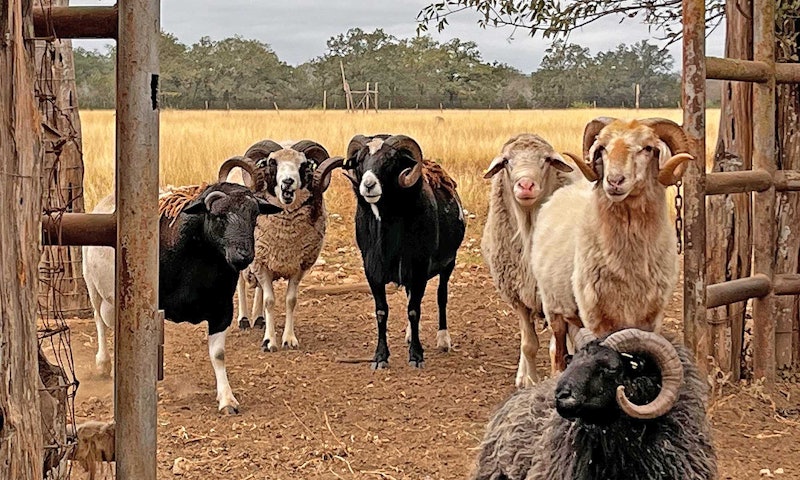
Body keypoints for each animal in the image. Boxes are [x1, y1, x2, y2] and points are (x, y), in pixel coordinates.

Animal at [83, 157, 281, 414]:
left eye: (254, 216)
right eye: (218, 216)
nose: (243, 256)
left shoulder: (222, 310)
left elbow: (218, 354)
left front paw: (227, 399)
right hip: (93, 286)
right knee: (99, 321)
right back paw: (103, 363)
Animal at [226, 139, 342, 352]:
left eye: (304, 165)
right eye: (272, 163)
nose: (288, 182)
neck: (285, 237)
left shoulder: (298, 266)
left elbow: (290, 301)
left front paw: (289, 339)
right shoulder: (261, 262)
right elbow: (270, 301)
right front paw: (269, 342)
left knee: (258, 289)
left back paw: (259, 319)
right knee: (240, 283)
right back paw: (244, 319)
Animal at [342, 134, 466, 369]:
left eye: (390, 160)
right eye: (360, 160)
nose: (368, 185)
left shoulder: (419, 267)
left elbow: (414, 310)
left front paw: (416, 356)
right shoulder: (372, 271)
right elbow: (382, 312)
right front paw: (380, 358)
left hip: (449, 262)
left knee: (441, 297)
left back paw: (443, 339)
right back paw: (409, 335)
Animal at [481, 133, 585, 387]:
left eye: (546, 160)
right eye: (506, 161)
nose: (526, 185)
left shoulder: (552, 297)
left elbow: (555, 348)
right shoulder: (517, 296)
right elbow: (528, 345)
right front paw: (529, 381)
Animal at [530, 117, 692, 372]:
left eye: (648, 148)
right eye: (602, 148)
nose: (614, 181)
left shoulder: (651, 317)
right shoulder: (597, 318)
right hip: (553, 308)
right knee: (558, 353)